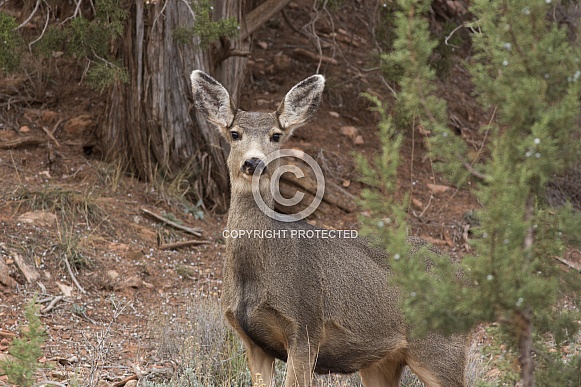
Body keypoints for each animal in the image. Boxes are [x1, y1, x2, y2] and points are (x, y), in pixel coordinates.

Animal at [190, 70, 466, 387]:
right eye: (235, 133)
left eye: (276, 135)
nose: (253, 162)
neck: (254, 276)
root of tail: (462, 273)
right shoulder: (252, 341)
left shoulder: (306, 327)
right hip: (381, 361)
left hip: (441, 350)